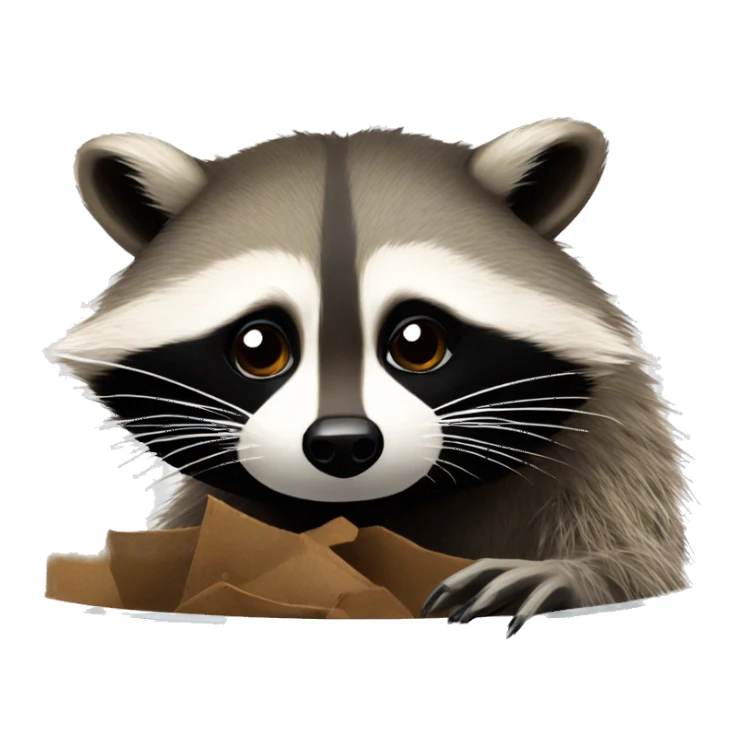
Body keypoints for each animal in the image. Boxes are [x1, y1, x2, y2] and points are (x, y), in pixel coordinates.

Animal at [50, 119, 689, 634]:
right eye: (259, 346)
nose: (342, 443)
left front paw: (574, 572)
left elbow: (643, 554)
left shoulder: (609, 426)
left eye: (418, 342)